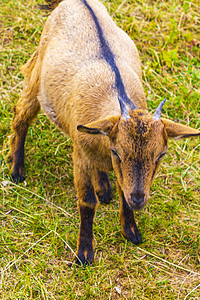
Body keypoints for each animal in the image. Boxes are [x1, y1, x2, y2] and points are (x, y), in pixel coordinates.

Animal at [9, 0, 200, 264]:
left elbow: (122, 191)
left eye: (161, 155)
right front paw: (84, 253)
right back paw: (16, 168)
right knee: (21, 115)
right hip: (37, 76)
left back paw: (104, 187)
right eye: (117, 152)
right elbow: (87, 202)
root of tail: (75, 1)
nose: (139, 199)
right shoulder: (80, 158)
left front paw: (131, 231)